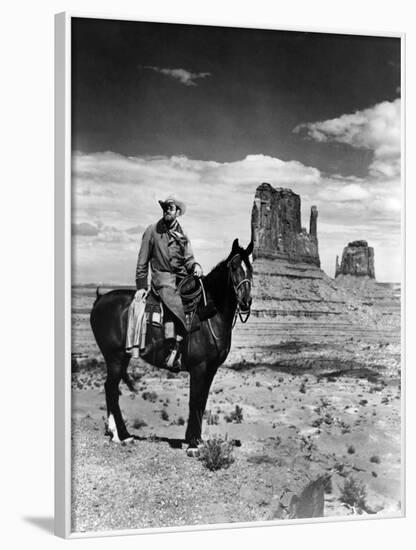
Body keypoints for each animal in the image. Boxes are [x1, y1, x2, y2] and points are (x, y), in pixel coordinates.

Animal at [90, 239, 254, 454]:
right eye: (234, 267)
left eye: (250, 268)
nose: (245, 302)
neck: (210, 314)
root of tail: (99, 299)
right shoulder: (199, 368)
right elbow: (195, 401)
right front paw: (193, 445)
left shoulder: (211, 370)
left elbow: (202, 401)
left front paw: (196, 439)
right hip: (114, 357)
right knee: (111, 389)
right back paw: (123, 436)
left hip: (121, 357)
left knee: (111, 389)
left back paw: (114, 432)